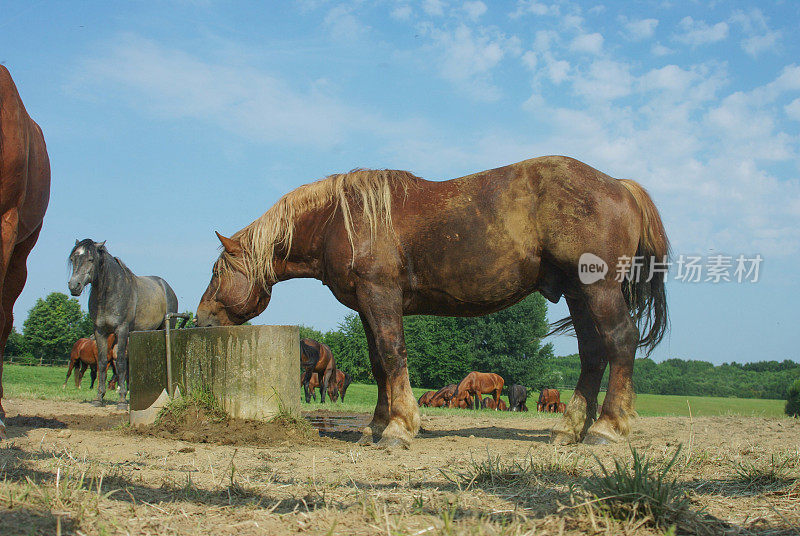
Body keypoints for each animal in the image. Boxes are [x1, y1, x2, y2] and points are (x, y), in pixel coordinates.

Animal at [67, 241, 178, 408]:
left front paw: (122, 400)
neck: (110, 293)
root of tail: (166, 287)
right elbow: (102, 362)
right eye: (73, 259)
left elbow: (120, 363)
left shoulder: (122, 329)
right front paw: (99, 398)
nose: (74, 286)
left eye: (91, 259)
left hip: (165, 327)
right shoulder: (100, 331)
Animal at [198, 156, 668, 448]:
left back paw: (607, 428)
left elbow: (393, 355)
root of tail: (620, 187)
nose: (200, 319)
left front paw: (400, 428)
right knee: (592, 354)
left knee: (620, 342)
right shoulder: (366, 305)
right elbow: (378, 363)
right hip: (577, 292)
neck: (341, 219)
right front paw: (375, 427)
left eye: (217, 272)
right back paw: (569, 430)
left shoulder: (381, 295)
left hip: (598, 288)